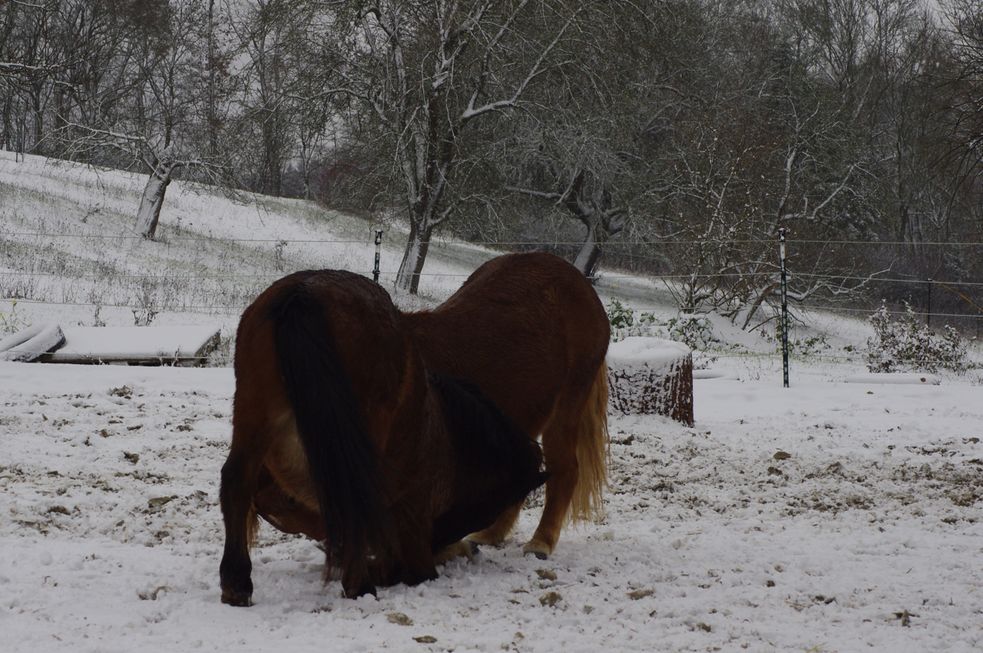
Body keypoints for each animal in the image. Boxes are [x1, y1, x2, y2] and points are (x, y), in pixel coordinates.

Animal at [218, 270, 548, 608]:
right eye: (491, 507)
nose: (437, 543)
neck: (444, 438)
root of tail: (304, 294)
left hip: (253, 417)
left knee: (237, 482)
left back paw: (237, 582)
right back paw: (360, 585)